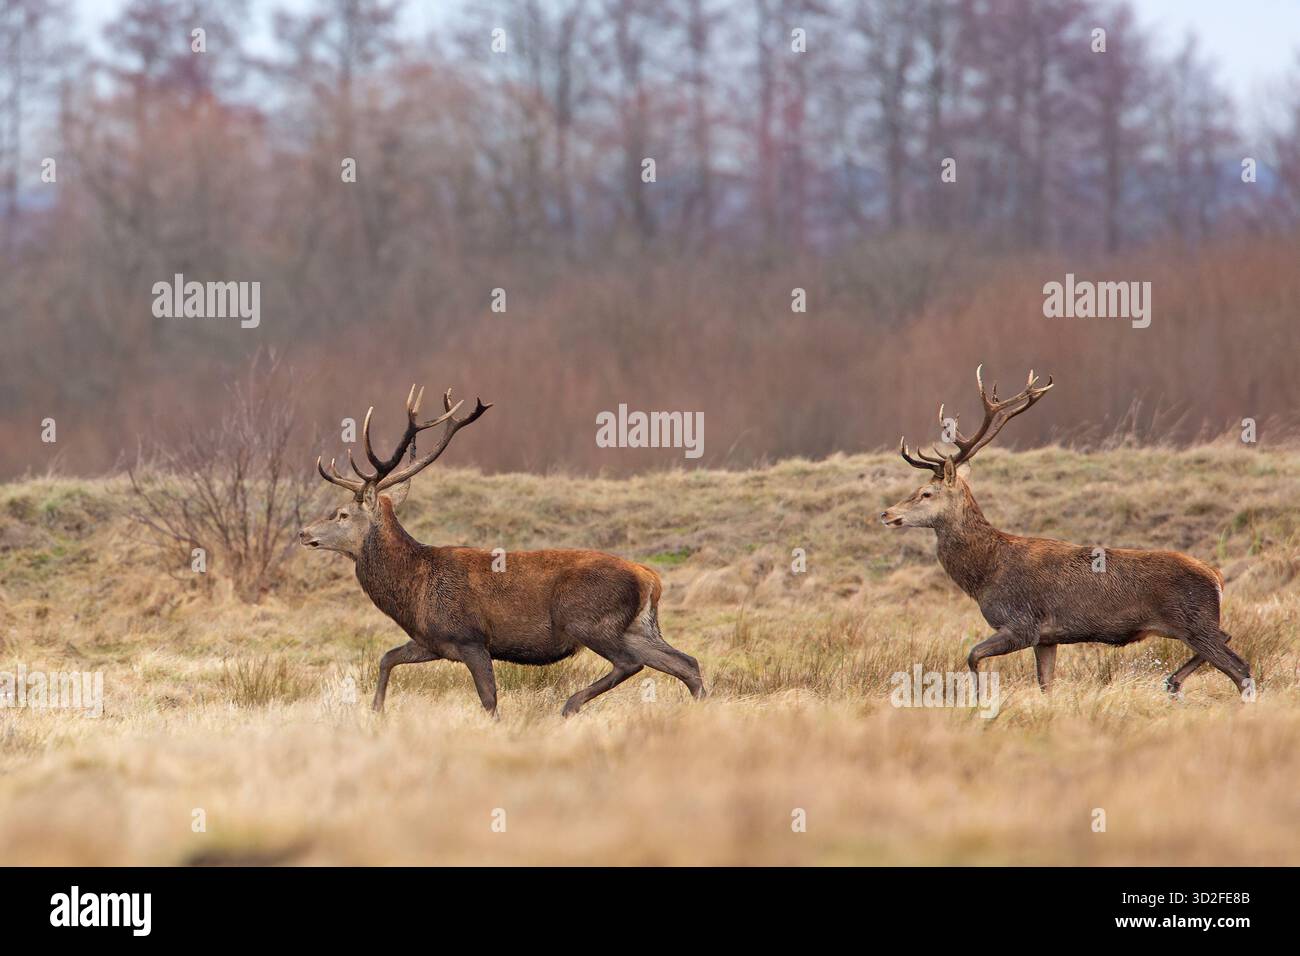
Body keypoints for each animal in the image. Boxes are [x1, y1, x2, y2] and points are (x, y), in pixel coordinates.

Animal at [298, 385, 706, 717]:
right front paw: (376, 711)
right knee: (687, 663)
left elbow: (489, 700)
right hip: (639, 625)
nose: (303, 533)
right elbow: (386, 658)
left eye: (342, 513)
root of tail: (650, 579)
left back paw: (570, 704)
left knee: (631, 663)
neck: (413, 591)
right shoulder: (433, 640)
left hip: (588, 619)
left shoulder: (470, 637)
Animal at [878, 365, 1253, 699]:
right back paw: (1173, 682)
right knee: (1228, 637)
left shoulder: (1021, 623)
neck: (984, 574)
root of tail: (1217, 577)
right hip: (1194, 624)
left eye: (926, 493)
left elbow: (972, 656)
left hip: (1194, 621)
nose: (887, 513)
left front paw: (980, 698)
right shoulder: (1048, 638)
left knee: (1241, 667)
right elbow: (1045, 684)